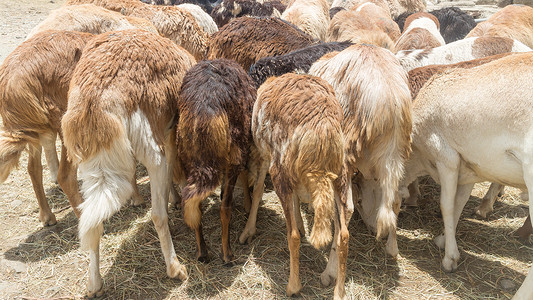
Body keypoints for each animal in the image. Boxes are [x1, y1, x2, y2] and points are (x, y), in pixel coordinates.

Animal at [0, 29, 95, 225]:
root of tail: (12, 84)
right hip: (64, 123)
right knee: (65, 176)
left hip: (35, 130)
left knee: (33, 169)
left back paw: (47, 216)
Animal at [61, 29, 195, 296]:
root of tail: (98, 99)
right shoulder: (169, 134)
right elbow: (172, 170)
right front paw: (176, 200)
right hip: (150, 150)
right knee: (156, 214)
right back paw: (175, 269)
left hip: (91, 169)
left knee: (91, 220)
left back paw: (94, 285)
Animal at [176, 59, 256, 264]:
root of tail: (203, 113)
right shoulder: (241, 151)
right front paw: (248, 204)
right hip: (233, 152)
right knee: (224, 207)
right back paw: (227, 254)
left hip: (187, 159)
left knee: (194, 205)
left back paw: (202, 252)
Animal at [245, 72, 350, 298]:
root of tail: (323, 129)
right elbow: (295, 202)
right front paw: (301, 224)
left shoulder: (266, 156)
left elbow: (258, 190)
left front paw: (248, 230)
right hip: (340, 177)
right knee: (343, 235)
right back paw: (339, 292)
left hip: (280, 171)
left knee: (292, 236)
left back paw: (293, 286)